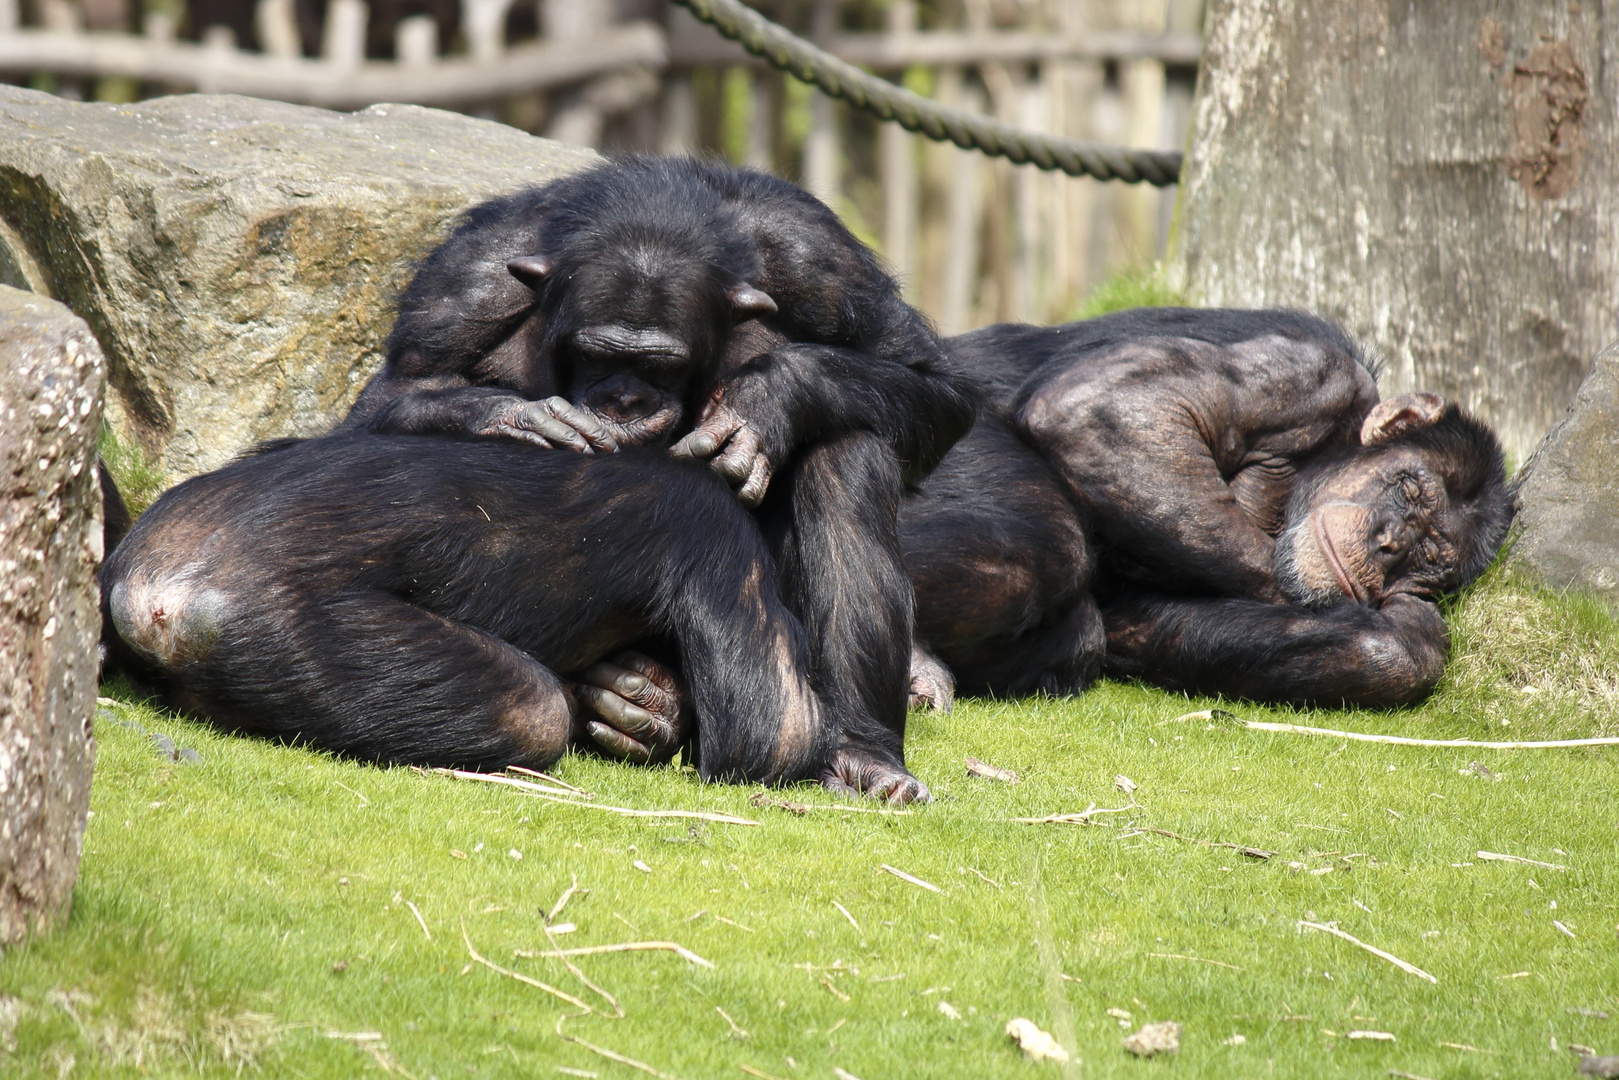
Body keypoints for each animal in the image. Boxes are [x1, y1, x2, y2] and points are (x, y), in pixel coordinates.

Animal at [101, 433, 841, 780]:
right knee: (536, 711)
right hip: (276, 626)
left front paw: (640, 700)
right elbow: (773, 731)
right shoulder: (717, 536)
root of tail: (148, 585)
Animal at [338, 158, 971, 803]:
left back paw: (859, 756)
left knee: (845, 449)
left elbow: (931, 382)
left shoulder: (818, 260)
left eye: (661, 365)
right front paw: (524, 419)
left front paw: (767, 399)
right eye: (596, 354)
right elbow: (394, 394)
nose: (624, 400)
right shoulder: (471, 278)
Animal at [906, 306, 1508, 709]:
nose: (1388, 544)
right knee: (1039, 549)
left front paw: (1408, 617)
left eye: (1427, 557)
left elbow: (1395, 654)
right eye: (1408, 491)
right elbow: (1105, 406)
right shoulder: (1312, 375)